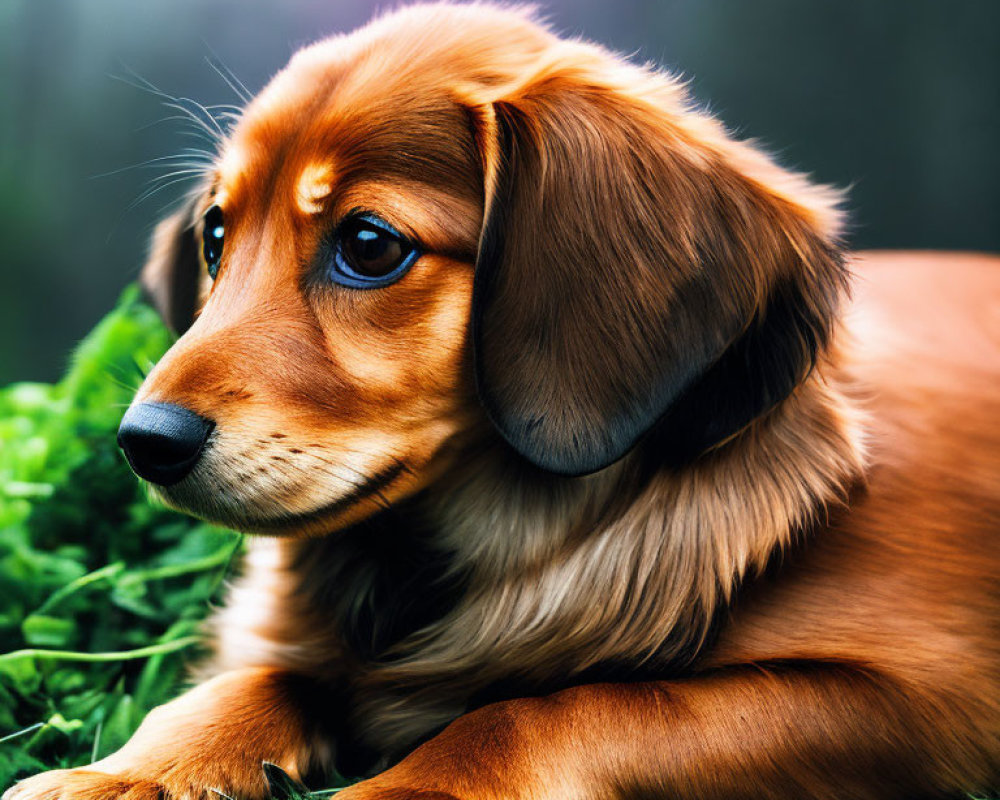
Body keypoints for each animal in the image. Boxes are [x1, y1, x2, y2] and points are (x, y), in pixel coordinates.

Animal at [9, 6, 1000, 800]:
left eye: (369, 244)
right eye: (216, 233)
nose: (142, 442)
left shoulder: (909, 701)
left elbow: (551, 708)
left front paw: (404, 791)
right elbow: (247, 681)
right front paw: (126, 773)